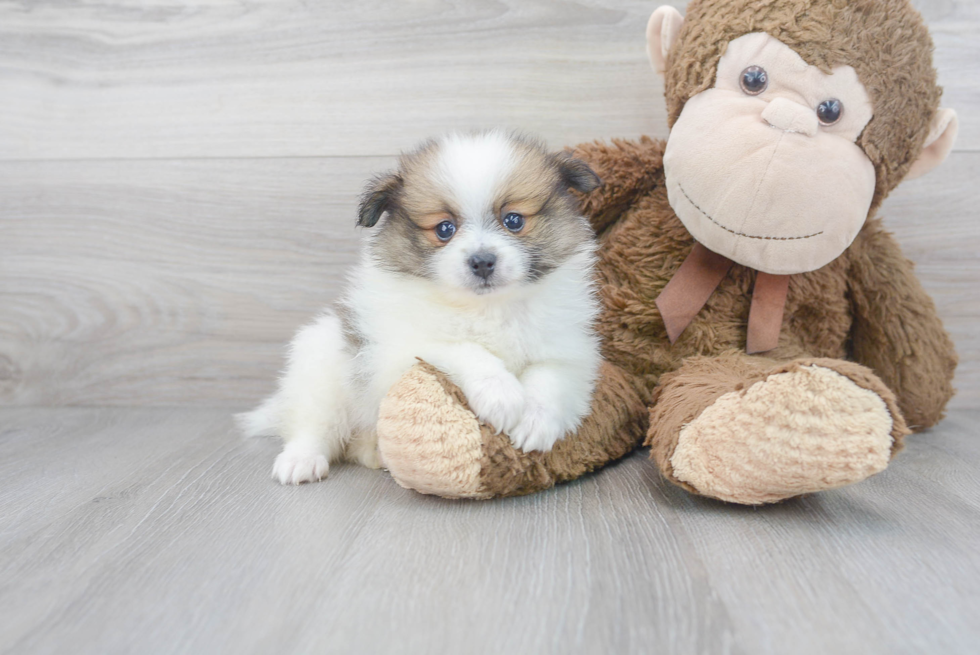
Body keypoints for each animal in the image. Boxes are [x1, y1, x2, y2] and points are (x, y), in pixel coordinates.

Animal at [241, 129, 600, 486]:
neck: (486, 307)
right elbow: (462, 349)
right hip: (322, 369)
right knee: (313, 426)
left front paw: (535, 423)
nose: (482, 261)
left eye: (513, 220)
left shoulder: (567, 351)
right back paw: (301, 461)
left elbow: (550, 380)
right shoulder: (399, 351)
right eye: (444, 229)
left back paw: (375, 453)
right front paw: (501, 394)